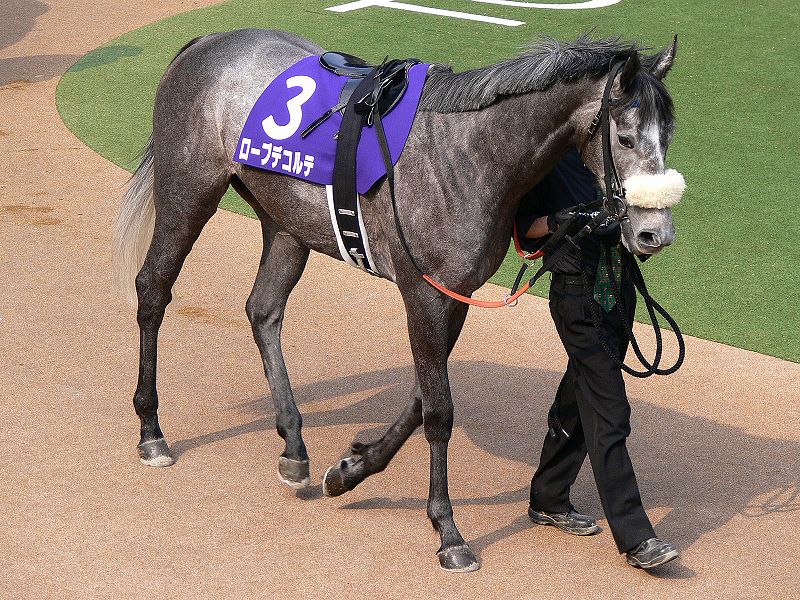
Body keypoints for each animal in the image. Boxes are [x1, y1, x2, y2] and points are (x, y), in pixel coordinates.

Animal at [115, 31, 684, 572]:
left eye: (668, 136)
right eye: (625, 137)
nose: (654, 233)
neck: (470, 156)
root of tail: (206, 42)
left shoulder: (455, 294)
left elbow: (419, 398)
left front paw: (350, 469)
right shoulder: (424, 292)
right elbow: (438, 411)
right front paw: (448, 533)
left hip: (286, 221)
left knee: (263, 311)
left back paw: (294, 448)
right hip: (189, 192)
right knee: (154, 290)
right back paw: (151, 430)